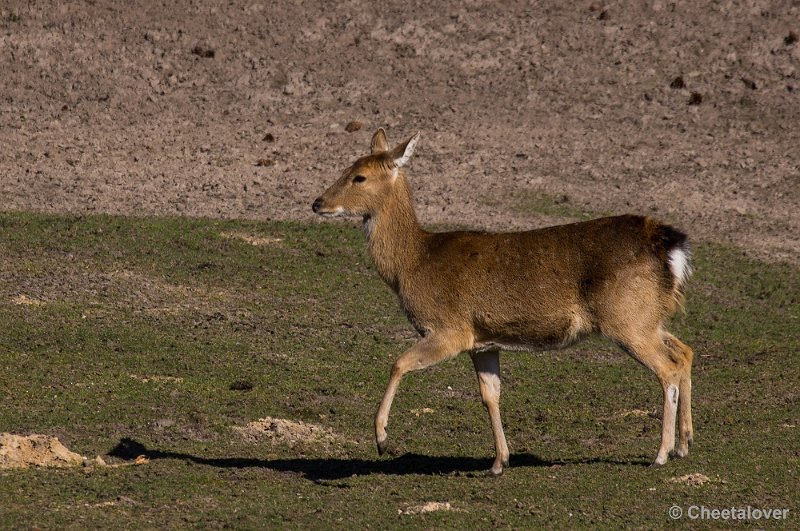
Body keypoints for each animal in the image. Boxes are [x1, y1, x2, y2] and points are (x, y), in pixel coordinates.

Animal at [312, 130, 692, 478]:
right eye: (346, 167)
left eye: (359, 176)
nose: (317, 202)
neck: (414, 263)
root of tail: (668, 245)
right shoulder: (482, 342)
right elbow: (490, 394)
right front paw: (499, 462)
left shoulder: (451, 329)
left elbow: (399, 363)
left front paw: (381, 438)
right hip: (646, 315)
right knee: (684, 351)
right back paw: (685, 444)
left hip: (626, 318)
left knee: (668, 367)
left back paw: (661, 454)